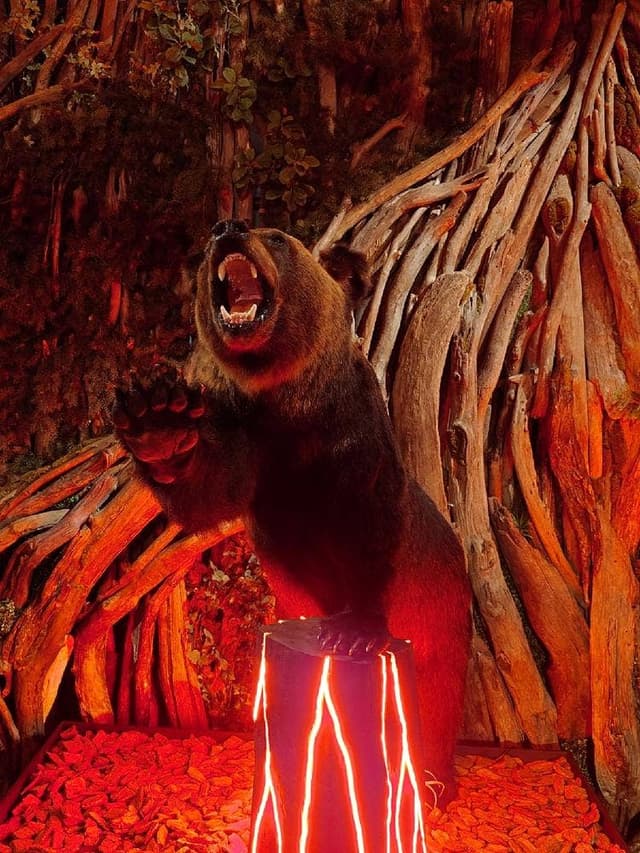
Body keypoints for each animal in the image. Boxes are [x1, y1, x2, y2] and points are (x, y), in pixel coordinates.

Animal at [113, 218, 471, 803]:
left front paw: (354, 628)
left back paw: (434, 782)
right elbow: (207, 491)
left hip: (441, 613)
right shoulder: (250, 447)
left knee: (438, 695)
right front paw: (157, 419)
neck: (288, 403)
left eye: (278, 237)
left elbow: (369, 531)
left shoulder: (355, 448)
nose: (227, 228)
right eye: (212, 241)